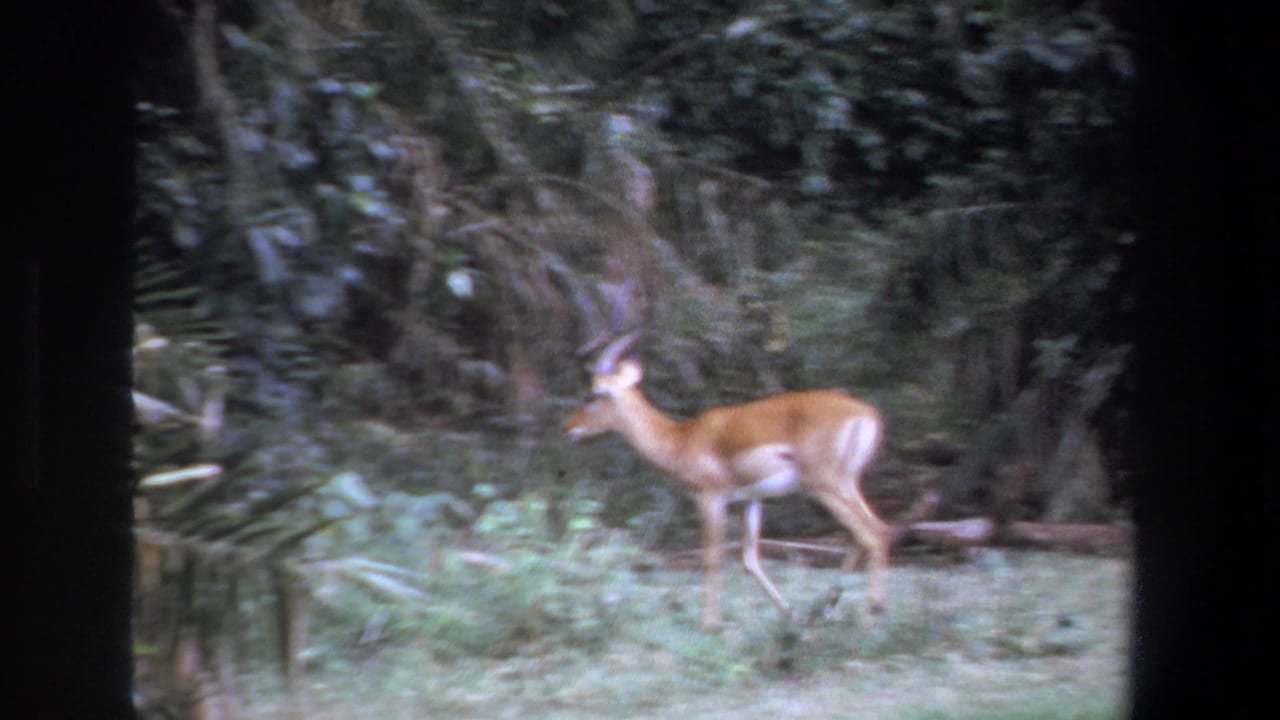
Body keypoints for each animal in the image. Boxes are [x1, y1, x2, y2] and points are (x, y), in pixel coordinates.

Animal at [563, 331, 890, 630]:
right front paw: (790, 615)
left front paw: (710, 624)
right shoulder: (750, 500)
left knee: (873, 533)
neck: (682, 439)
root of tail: (867, 413)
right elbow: (749, 560)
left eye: (591, 395)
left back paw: (871, 619)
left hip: (826, 485)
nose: (569, 429)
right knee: (869, 531)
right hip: (846, 484)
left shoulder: (710, 498)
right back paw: (829, 608)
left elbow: (712, 558)